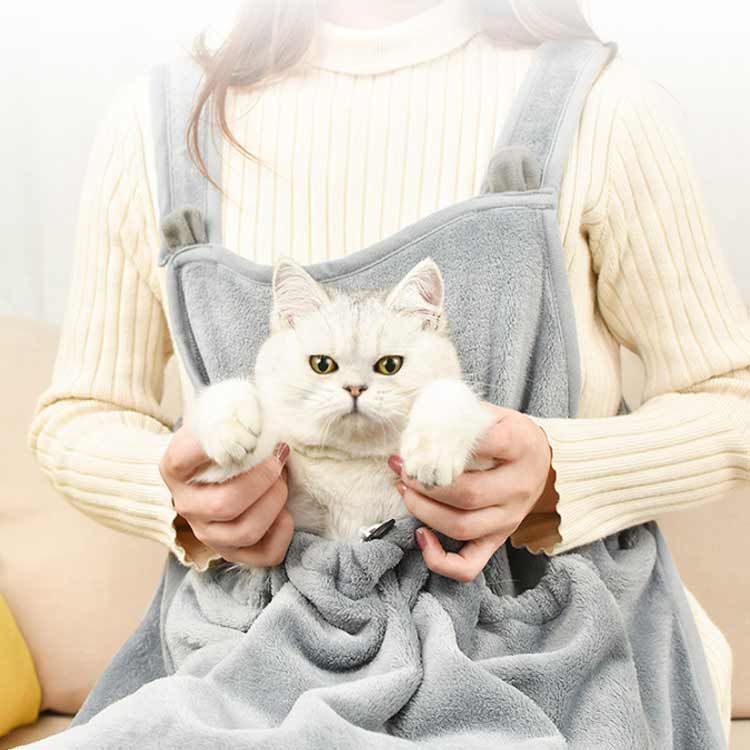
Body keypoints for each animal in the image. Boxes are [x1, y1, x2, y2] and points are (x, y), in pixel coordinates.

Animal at [187, 257, 495, 543]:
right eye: (322, 364)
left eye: (390, 365)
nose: (355, 389)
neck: (353, 462)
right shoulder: (293, 506)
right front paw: (230, 427)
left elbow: (449, 393)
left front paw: (432, 451)